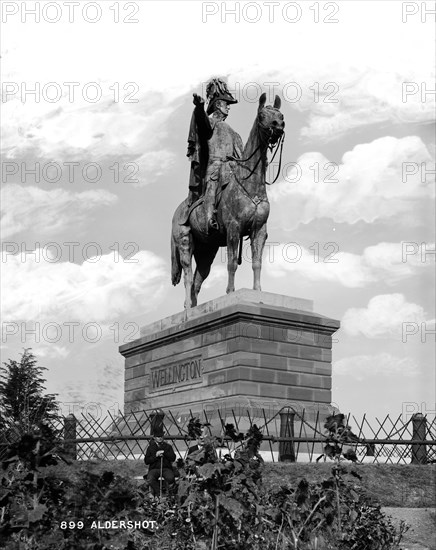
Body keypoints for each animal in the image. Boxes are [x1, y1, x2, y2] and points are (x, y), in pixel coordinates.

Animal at [170, 95, 286, 310]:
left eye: (280, 115)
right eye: (262, 115)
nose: (279, 125)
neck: (250, 183)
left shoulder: (259, 230)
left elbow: (257, 262)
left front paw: (258, 292)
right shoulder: (234, 228)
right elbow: (232, 263)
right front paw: (231, 292)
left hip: (207, 251)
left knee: (198, 279)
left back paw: (196, 307)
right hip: (185, 243)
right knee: (188, 275)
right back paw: (188, 307)